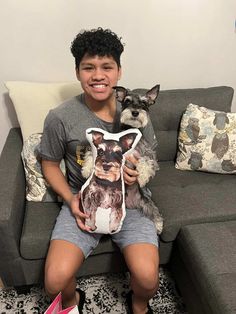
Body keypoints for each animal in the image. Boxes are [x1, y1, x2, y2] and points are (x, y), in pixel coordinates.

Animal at [113, 84, 163, 234]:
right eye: (127, 101)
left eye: (144, 103)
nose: (135, 112)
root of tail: (131, 205)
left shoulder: (150, 155)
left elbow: (145, 160)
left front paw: (142, 177)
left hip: (146, 203)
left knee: (155, 212)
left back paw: (159, 225)